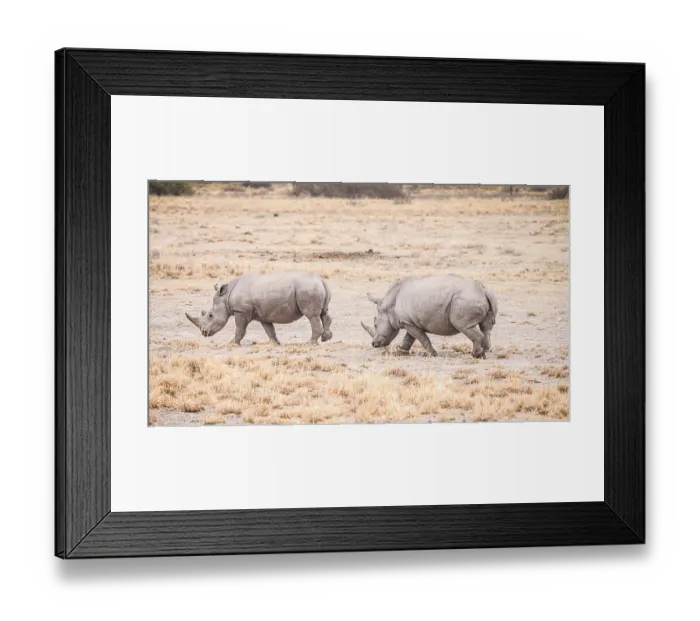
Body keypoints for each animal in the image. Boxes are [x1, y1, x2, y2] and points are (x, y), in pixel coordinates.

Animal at [186, 271, 333, 345]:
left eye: (210, 315)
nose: (204, 332)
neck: (226, 297)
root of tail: (321, 280)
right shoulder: (263, 314)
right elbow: (269, 330)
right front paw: (275, 343)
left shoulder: (241, 311)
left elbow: (240, 329)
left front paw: (232, 343)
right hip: (312, 287)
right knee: (323, 313)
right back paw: (326, 338)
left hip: (307, 288)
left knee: (312, 315)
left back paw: (310, 343)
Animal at [361, 275, 498, 358]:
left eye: (375, 325)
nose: (374, 344)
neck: (388, 305)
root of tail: (483, 290)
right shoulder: (410, 321)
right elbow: (410, 338)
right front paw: (400, 351)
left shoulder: (407, 322)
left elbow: (421, 338)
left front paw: (432, 354)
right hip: (478, 297)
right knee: (486, 328)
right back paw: (483, 354)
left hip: (465, 300)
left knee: (464, 327)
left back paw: (475, 355)